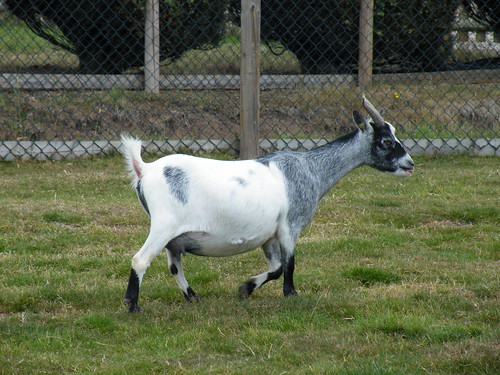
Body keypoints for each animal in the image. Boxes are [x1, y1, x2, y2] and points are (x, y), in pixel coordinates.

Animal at [120, 95, 414, 312]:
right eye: (386, 141)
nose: (409, 164)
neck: (310, 169)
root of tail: (145, 169)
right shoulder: (289, 226)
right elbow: (289, 263)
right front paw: (291, 294)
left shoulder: (269, 234)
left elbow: (276, 267)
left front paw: (246, 288)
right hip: (164, 224)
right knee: (140, 259)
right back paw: (133, 305)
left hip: (174, 236)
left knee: (175, 265)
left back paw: (192, 297)